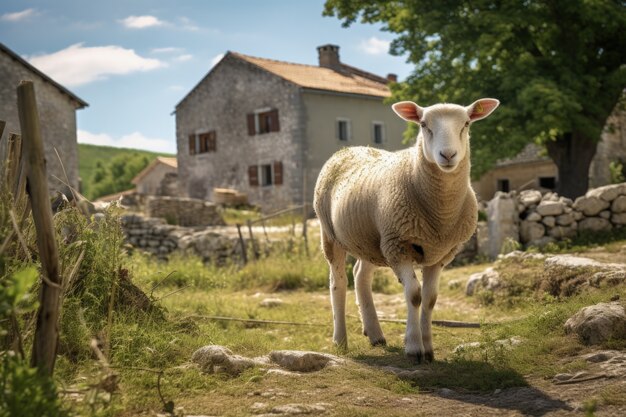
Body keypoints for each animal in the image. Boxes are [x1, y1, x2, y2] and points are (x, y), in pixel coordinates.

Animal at [312, 97, 498, 360]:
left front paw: (428, 349)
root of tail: (348, 149)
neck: (439, 213)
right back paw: (340, 341)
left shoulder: (439, 254)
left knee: (360, 276)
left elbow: (430, 299)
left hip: (372, 240)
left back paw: (375, 334)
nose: (448, 154)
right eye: (423, 124)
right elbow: (414, 295)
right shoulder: (399, 246)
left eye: (466, 124)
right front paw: (413, 347)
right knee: (338, 283)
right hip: (331, 234)